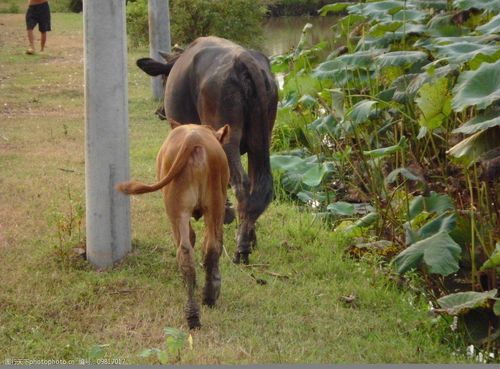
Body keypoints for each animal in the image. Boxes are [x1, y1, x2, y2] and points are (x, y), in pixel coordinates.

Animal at [116, 121, 229, 328]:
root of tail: (194, 137)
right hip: (216, 204)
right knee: (211, 247)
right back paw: (209, 296)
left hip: (176, 209)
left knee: (184, 251)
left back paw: (192, 313)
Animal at [136, 36, 278, 264]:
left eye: (165, 79)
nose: (159, 112)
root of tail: (243, 59)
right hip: (262, 138)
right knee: (260, 186)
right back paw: (248, 238)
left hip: (228, 135)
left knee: (241, 183)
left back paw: (241, 247)